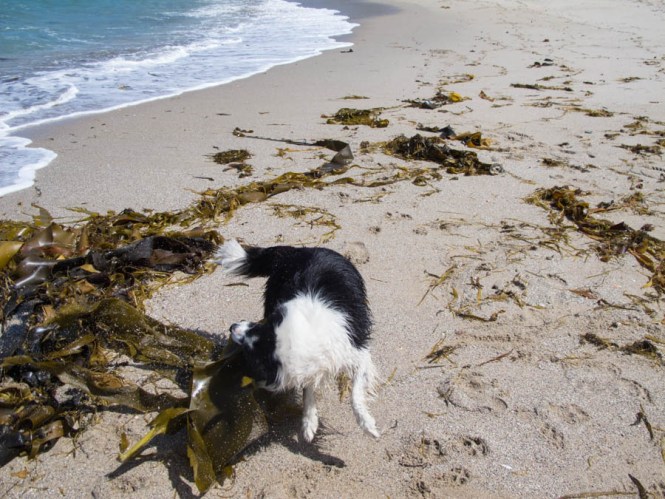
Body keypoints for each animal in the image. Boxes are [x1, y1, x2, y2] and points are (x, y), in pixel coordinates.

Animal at [213, 240, 378, 444]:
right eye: (261, 323)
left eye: (252, 353)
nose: (232, 326)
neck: (310, 333)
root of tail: (300, 250)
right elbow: (308, 389)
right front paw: (309, 423)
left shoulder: (356, 350)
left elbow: (356, 392)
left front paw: (367, 424)